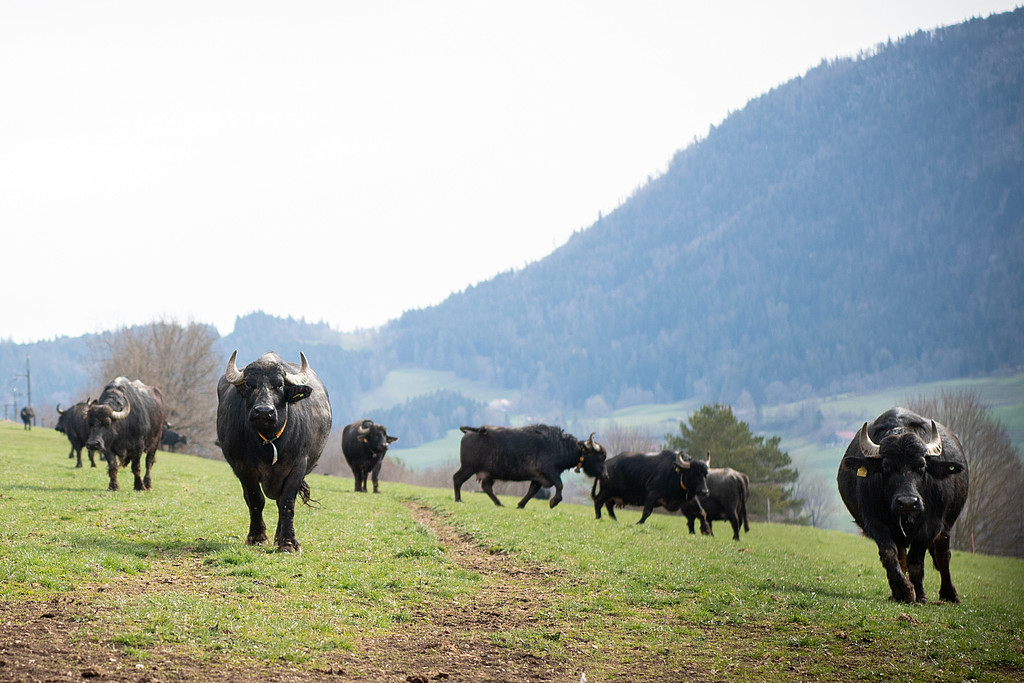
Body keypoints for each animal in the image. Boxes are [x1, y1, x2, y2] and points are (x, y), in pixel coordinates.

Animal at [216, 350, 331, 552]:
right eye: (249, 384)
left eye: (279, 385)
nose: (263, 411)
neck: (270, 443)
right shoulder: (244, 468)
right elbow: (256, 500)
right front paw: (257, 537)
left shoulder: (298, 466)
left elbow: (287, 502)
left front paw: (288, 542)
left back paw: (279, 537)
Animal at [450, 423, 606, 509]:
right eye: (601, 457)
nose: (605, 475)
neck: (560, 446)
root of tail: (474, 431)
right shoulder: (549, 472)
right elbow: (560, 485)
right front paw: (553, 502)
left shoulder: (538, 479)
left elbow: (531, 492)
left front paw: (520, 505)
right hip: (468, 467)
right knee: (457, 479)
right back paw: (458, 499)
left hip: (488, 473)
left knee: (486, 487)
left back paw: (499, 503)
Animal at [835, 405, 970, 602]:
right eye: (886, 467)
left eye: (922, 466)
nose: (907, 502)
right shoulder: (875, 522)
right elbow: (890, 554)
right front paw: (904, 591)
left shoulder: (932, 525)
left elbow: (916, 561)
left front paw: (920, 596)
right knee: (902, 556)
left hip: (946, 527)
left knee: (943, 555)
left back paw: (950, 595)